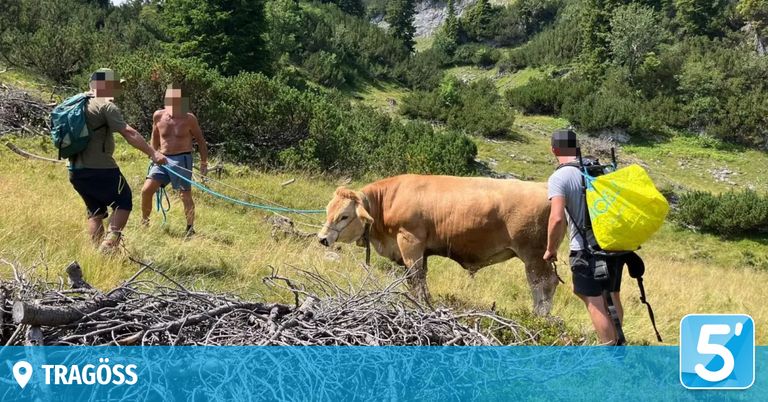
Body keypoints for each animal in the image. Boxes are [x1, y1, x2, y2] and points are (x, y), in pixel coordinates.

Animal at [317, 174, 560, 316]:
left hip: (534, 256)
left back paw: (539, 318)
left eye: (344, 216)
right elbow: (417, 280)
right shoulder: (421, 251)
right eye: (328, 209)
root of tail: (544, 188)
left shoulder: (410, 242)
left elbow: (416, 278)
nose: (322, 239)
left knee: (543, 285)